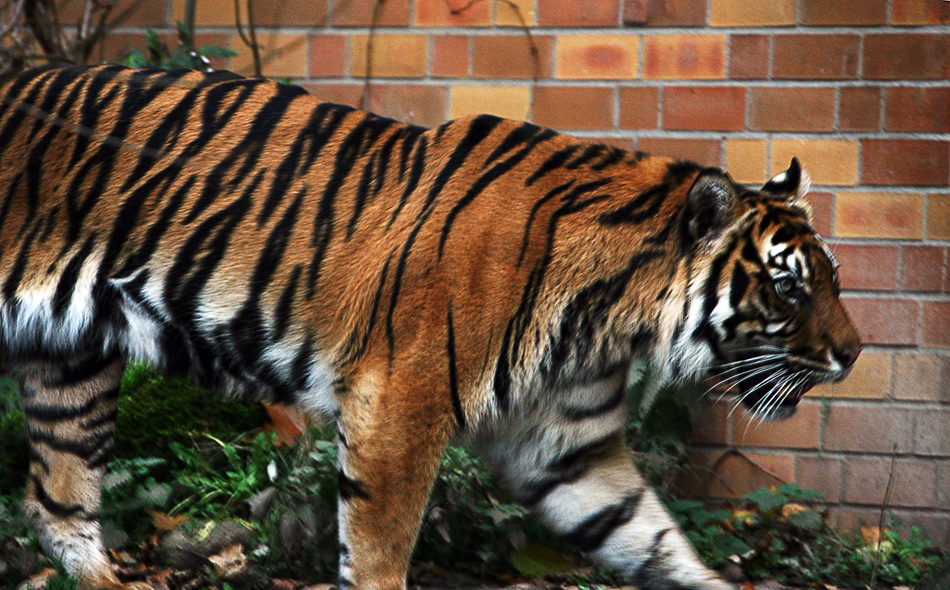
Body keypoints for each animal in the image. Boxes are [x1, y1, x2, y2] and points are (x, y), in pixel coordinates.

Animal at [0, 65, 864, 590]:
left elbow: (652, 536)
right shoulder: (398, 406)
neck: (613, 314)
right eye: (788, 286)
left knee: (55, 503)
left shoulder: (566, 445)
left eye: (832, 278)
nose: (854, 354)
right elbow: (379, 546)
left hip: (69, 363)